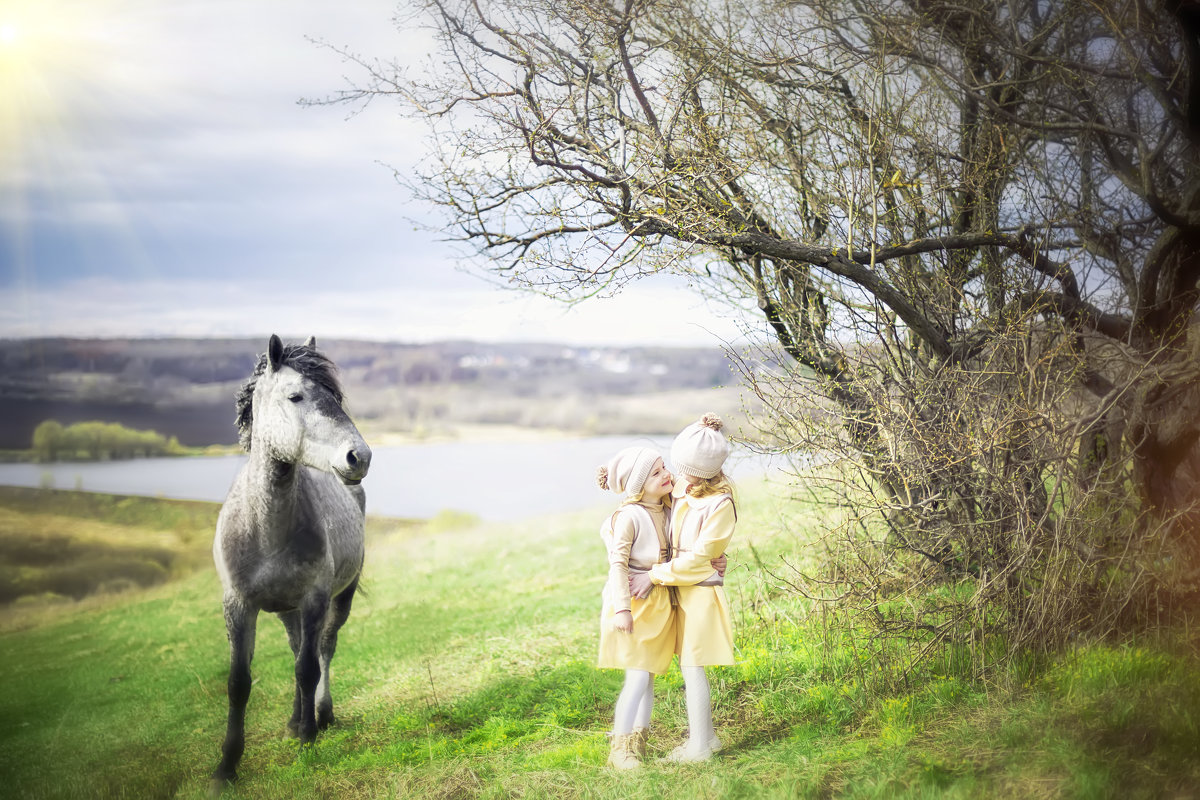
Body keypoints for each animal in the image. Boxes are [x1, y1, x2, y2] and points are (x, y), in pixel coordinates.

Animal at [211, 333, 369, 786]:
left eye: (336, 398)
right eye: (295, 396)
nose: (360, 457)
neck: (264, 528)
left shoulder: (315, 599)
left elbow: (307, 669)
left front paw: (308, 744)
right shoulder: (238, 605)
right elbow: (239, 682)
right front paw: (226, 767)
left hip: (339, 597)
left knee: (323, 650)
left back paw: (320, 716)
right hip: (285, 610)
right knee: (298, 646)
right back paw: (296, 720)